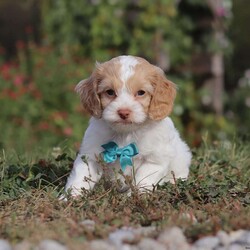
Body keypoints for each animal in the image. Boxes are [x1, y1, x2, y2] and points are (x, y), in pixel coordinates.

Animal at [65, 55, 191, 197]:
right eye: (110, 92)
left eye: (141, 92)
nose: (123, 112)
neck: (126, 133)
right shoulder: (90, 156)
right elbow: (80, 179)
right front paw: (69, 197)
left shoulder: (154, 161)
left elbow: (142, 181)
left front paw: (136, 198)